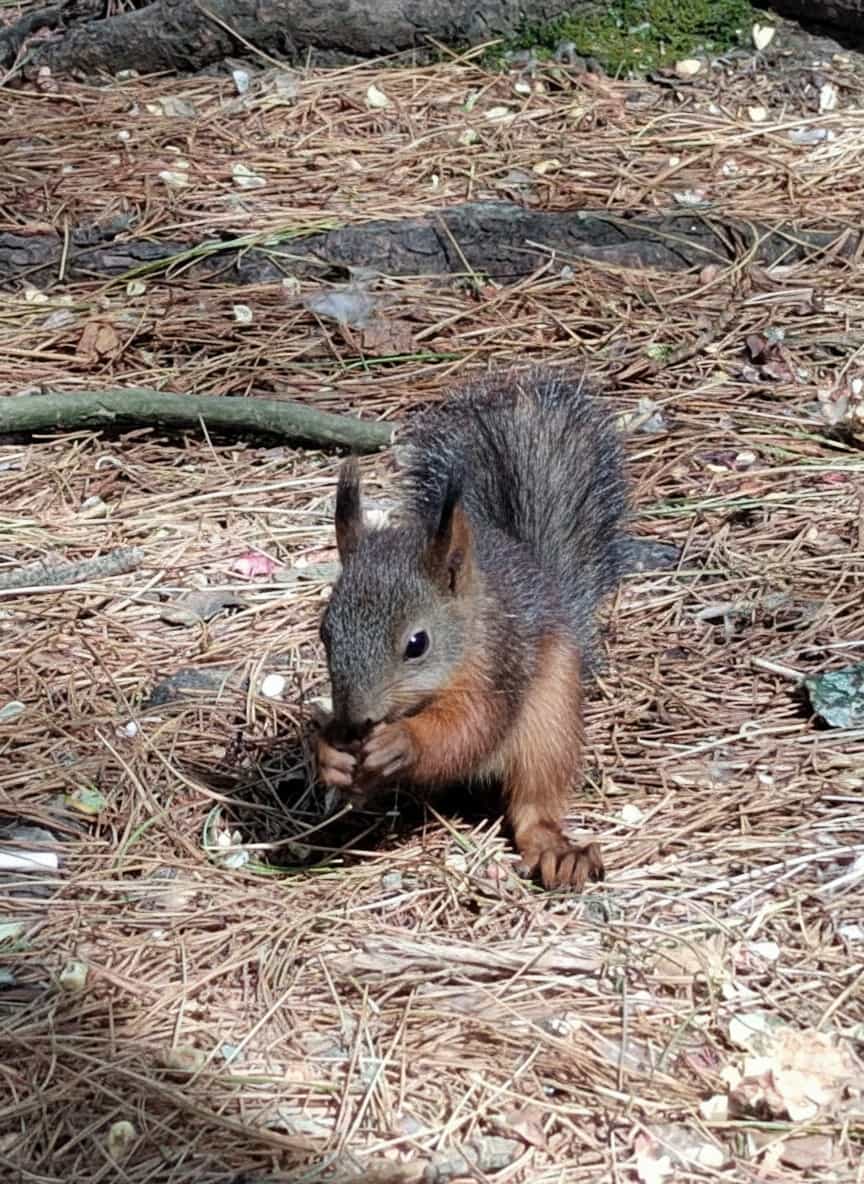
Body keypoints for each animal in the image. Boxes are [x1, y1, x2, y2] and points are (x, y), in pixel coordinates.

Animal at [315, 365, 628, 889]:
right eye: (325, 632)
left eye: (417, 644)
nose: (357, 720)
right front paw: (329, 755)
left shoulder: (497, 666)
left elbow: (469, 730)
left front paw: (406, 741)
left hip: (551, 716)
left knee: (535, 801)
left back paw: (556, 851)